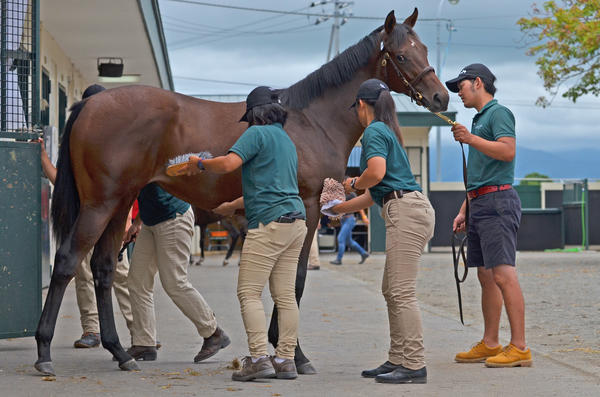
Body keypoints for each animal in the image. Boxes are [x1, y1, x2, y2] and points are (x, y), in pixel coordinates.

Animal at [32, 9, 446, 374]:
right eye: (402, 55)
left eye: (425, 49)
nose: (440, 97)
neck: (310, 120)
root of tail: (91, 103)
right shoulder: (308, 207)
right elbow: (294, 279)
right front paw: (295, 356)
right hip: (99, 205)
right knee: (67, 261)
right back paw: (44, 351)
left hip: (118, 205)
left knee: (102, 268)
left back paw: (121, 352)